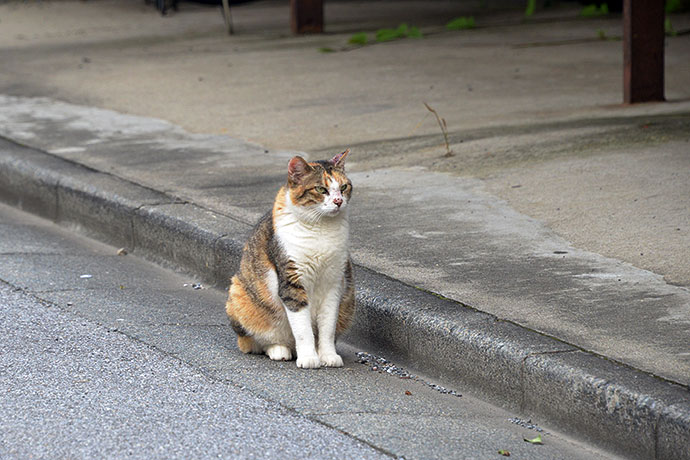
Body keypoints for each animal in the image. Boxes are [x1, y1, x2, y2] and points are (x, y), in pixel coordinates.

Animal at [226, 149, 354, 368]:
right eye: (321, 189)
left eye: (344, 187)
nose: (338, 201)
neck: (322, 229)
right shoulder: (292, 282)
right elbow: (303, 329)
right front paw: (309, 358)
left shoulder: (334, 283)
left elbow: (328, 327)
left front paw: (328, 356)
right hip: (240, 294)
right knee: (255, 342)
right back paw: (279, 350)